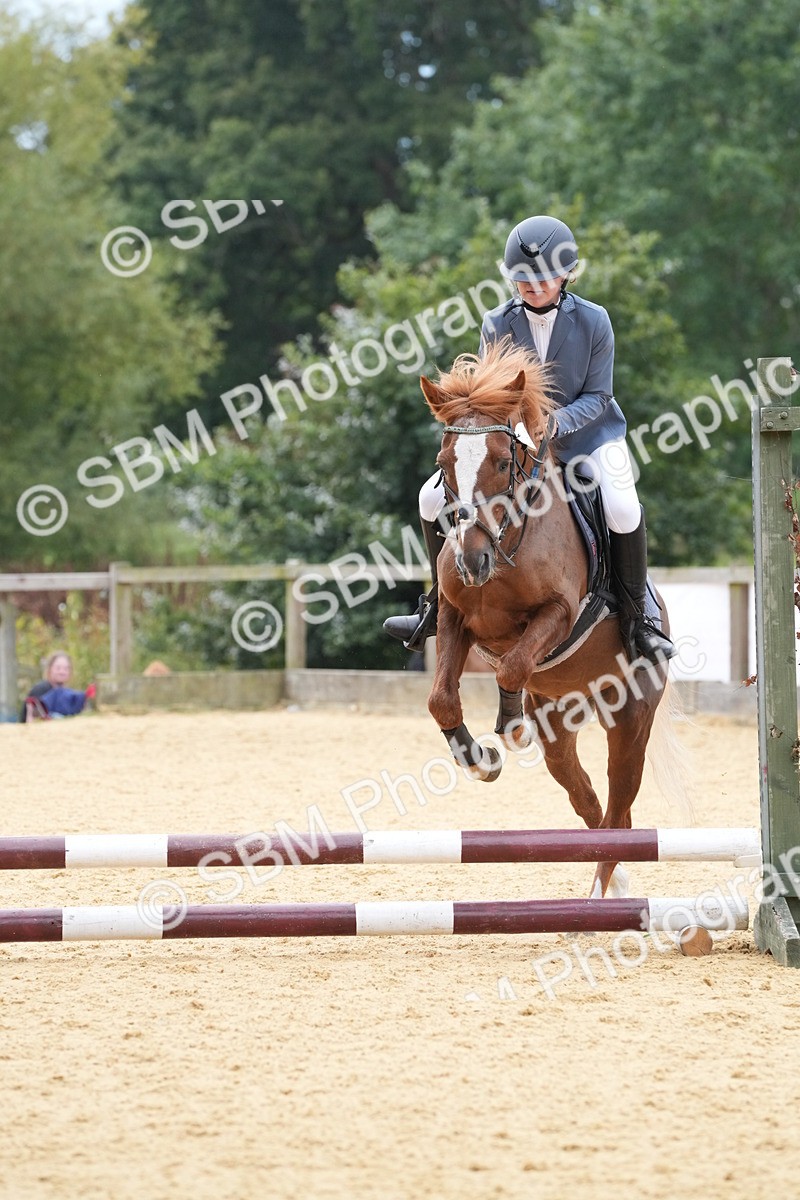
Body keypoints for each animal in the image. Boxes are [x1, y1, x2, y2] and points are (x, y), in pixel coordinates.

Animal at [419, 339, 671, 898]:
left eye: (500, 461)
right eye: (445, 463)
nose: (471, 562)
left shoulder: (557, 614)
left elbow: (514, 665)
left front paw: (509, 729)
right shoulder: (454, 618)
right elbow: (442, 700)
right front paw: (479, 760)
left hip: (631, 718)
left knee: (619, 812)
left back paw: (601, 898)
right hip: (559, 721)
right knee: (589, 803)